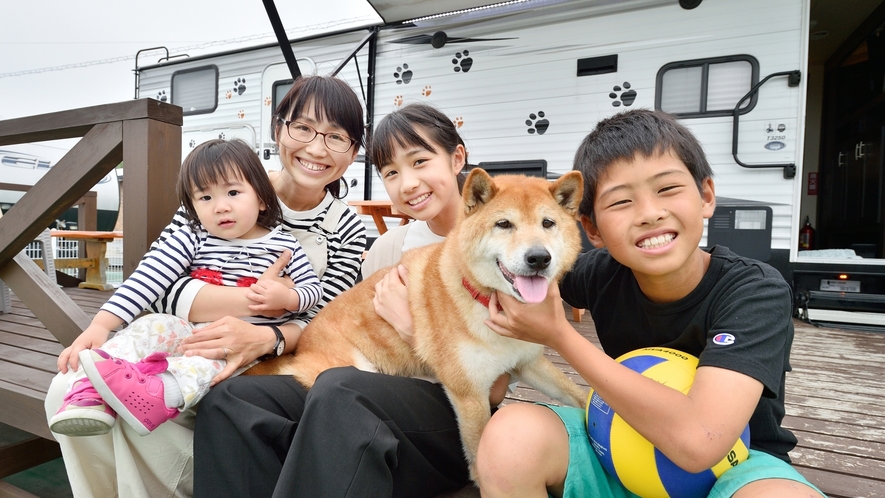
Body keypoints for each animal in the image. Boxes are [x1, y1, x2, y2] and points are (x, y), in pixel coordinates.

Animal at [245, 168, 588, 478]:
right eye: (504, 224)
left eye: (548, 223)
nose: (539, 258)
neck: (489, 304)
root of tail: (302, 349)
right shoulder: (470, 393)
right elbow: (479, 457)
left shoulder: (528, 363)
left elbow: (575, 393)